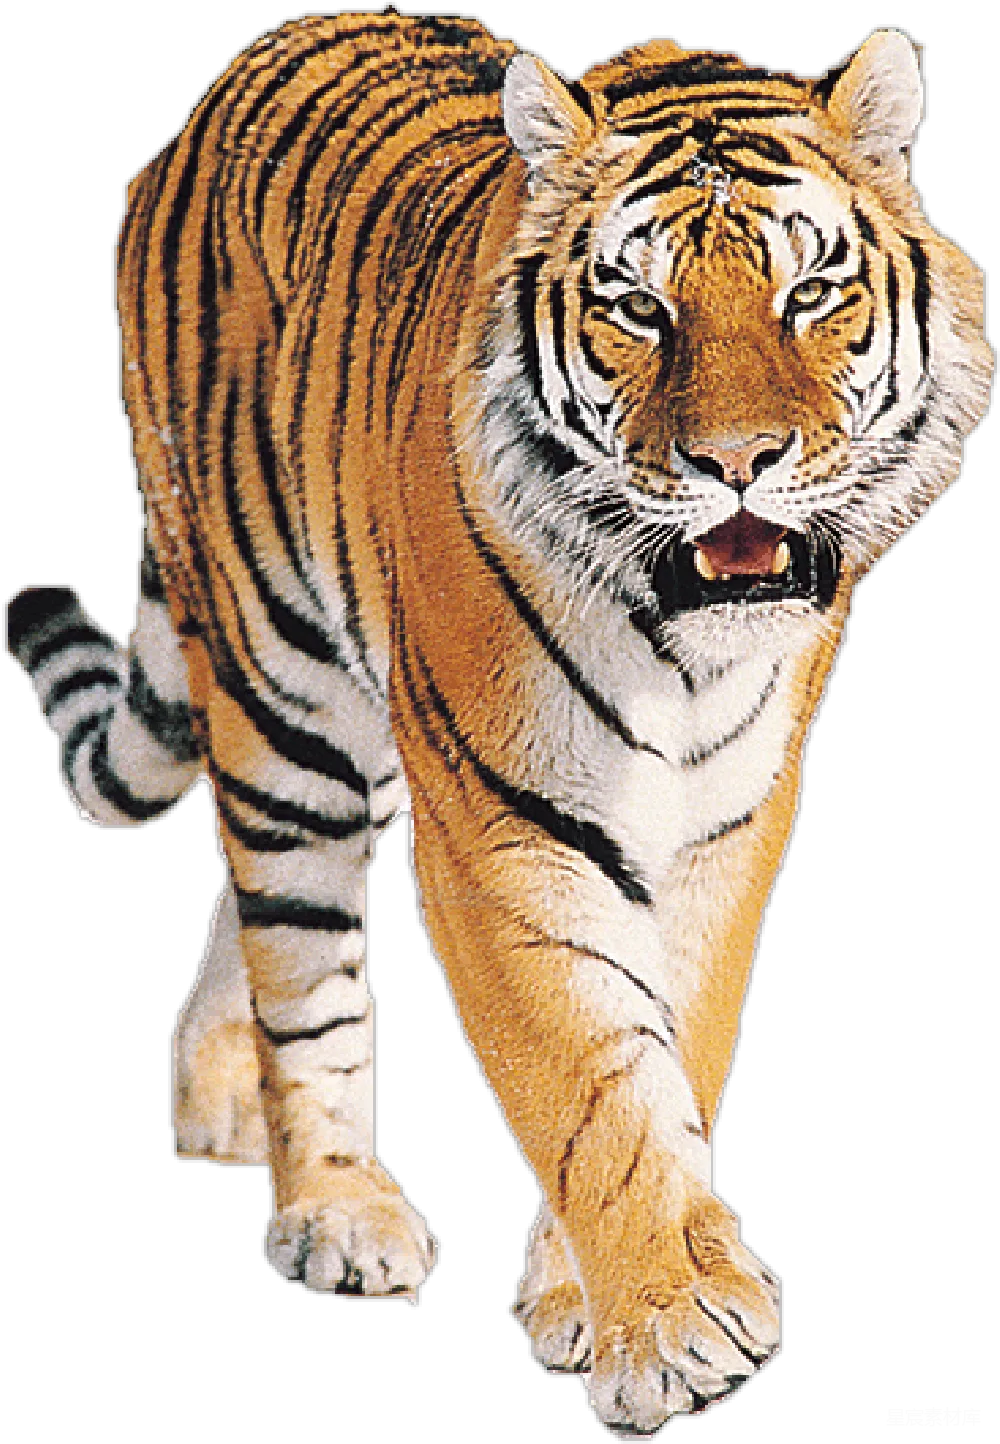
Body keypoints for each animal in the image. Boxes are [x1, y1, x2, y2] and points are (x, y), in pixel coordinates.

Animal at [6, 12, 991, 1436]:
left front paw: (590, 1293)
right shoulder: (502, 819)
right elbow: (582, 1063)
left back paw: (221, 1095)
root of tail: (236, 72)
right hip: (286, 689)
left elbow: (672, 1044)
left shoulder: (726, 818)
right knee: (295, 937)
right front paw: (665, 1324)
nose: (736, 463)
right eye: (638, 306)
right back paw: (333, 1204)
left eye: (810, 293)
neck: (683, 646)